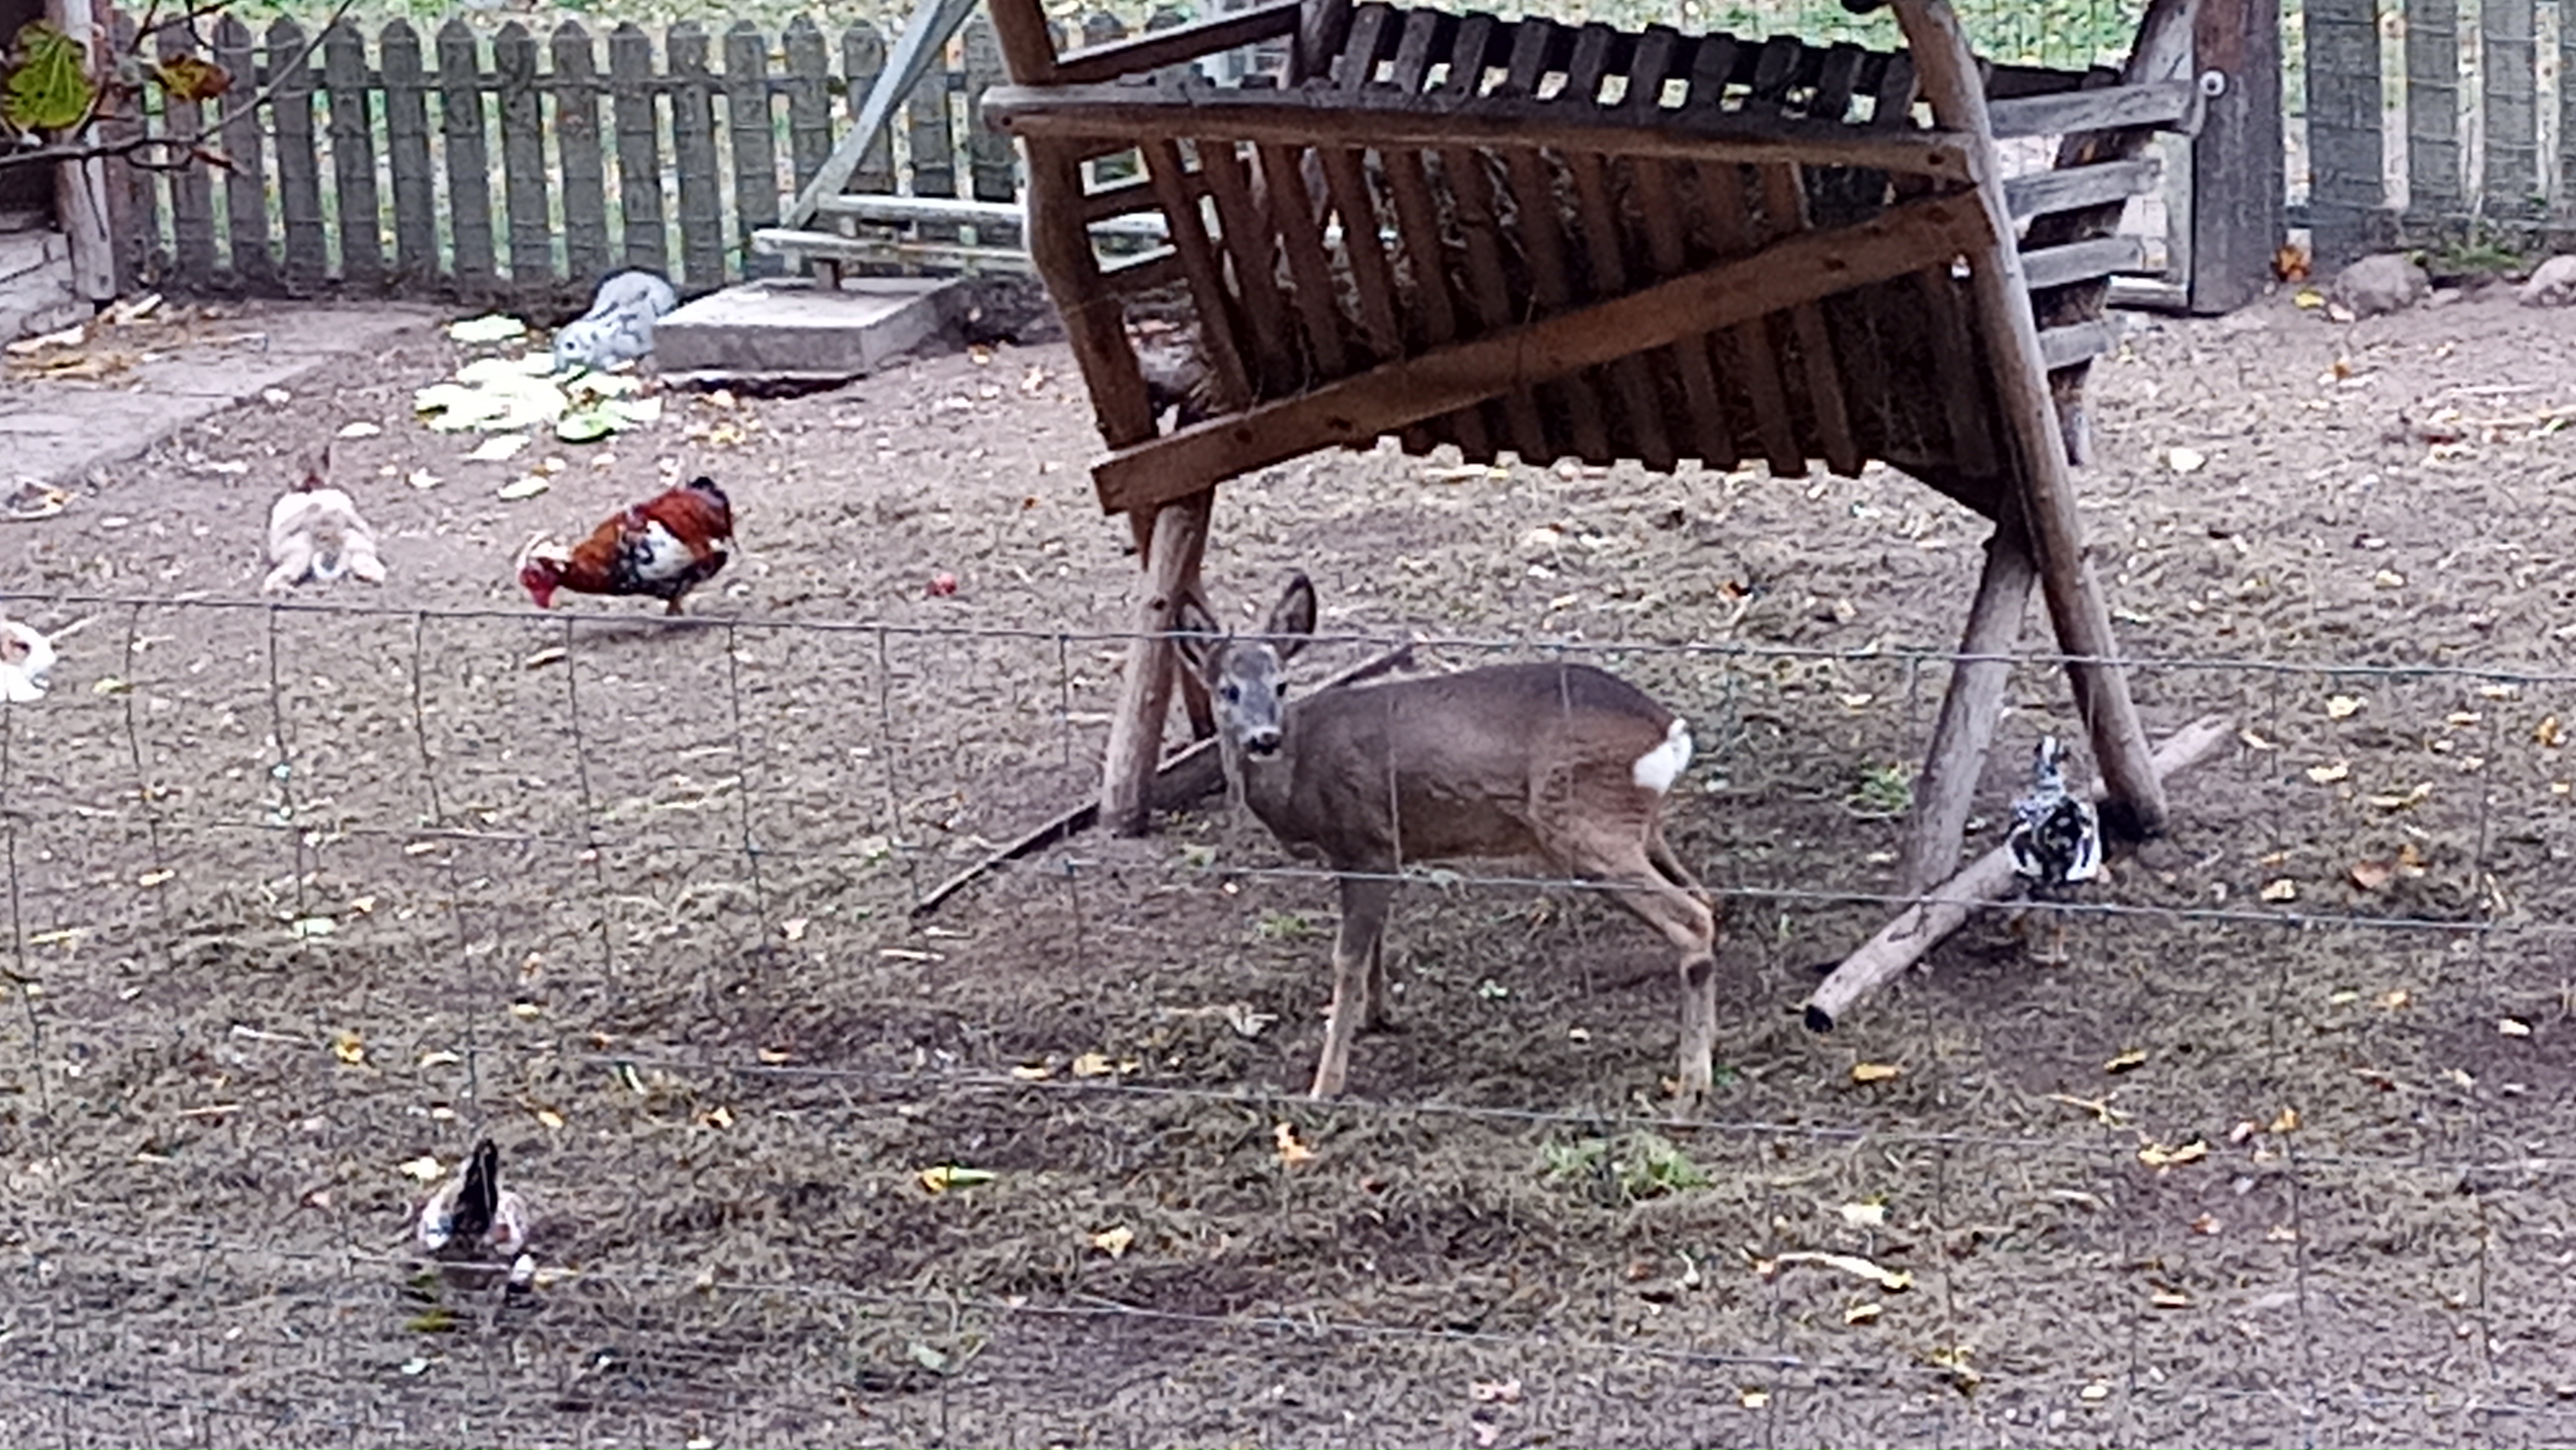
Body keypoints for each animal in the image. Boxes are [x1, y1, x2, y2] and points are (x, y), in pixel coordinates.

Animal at [1172, 572, 1723, 1107]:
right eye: (1227, 690)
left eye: (1282, 685)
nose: (1264, 738)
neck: (1299, 773)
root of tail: (1668, 732)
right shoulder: (1375, 853)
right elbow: (1375, 942)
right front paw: (1377, 1017)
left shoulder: (1366, 841)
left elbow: (1346, 960)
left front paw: (1325, 1085)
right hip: (1639, 829)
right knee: (1705, 897)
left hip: (1581, 823)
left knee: (1692, 919)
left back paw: (1691, 1088)